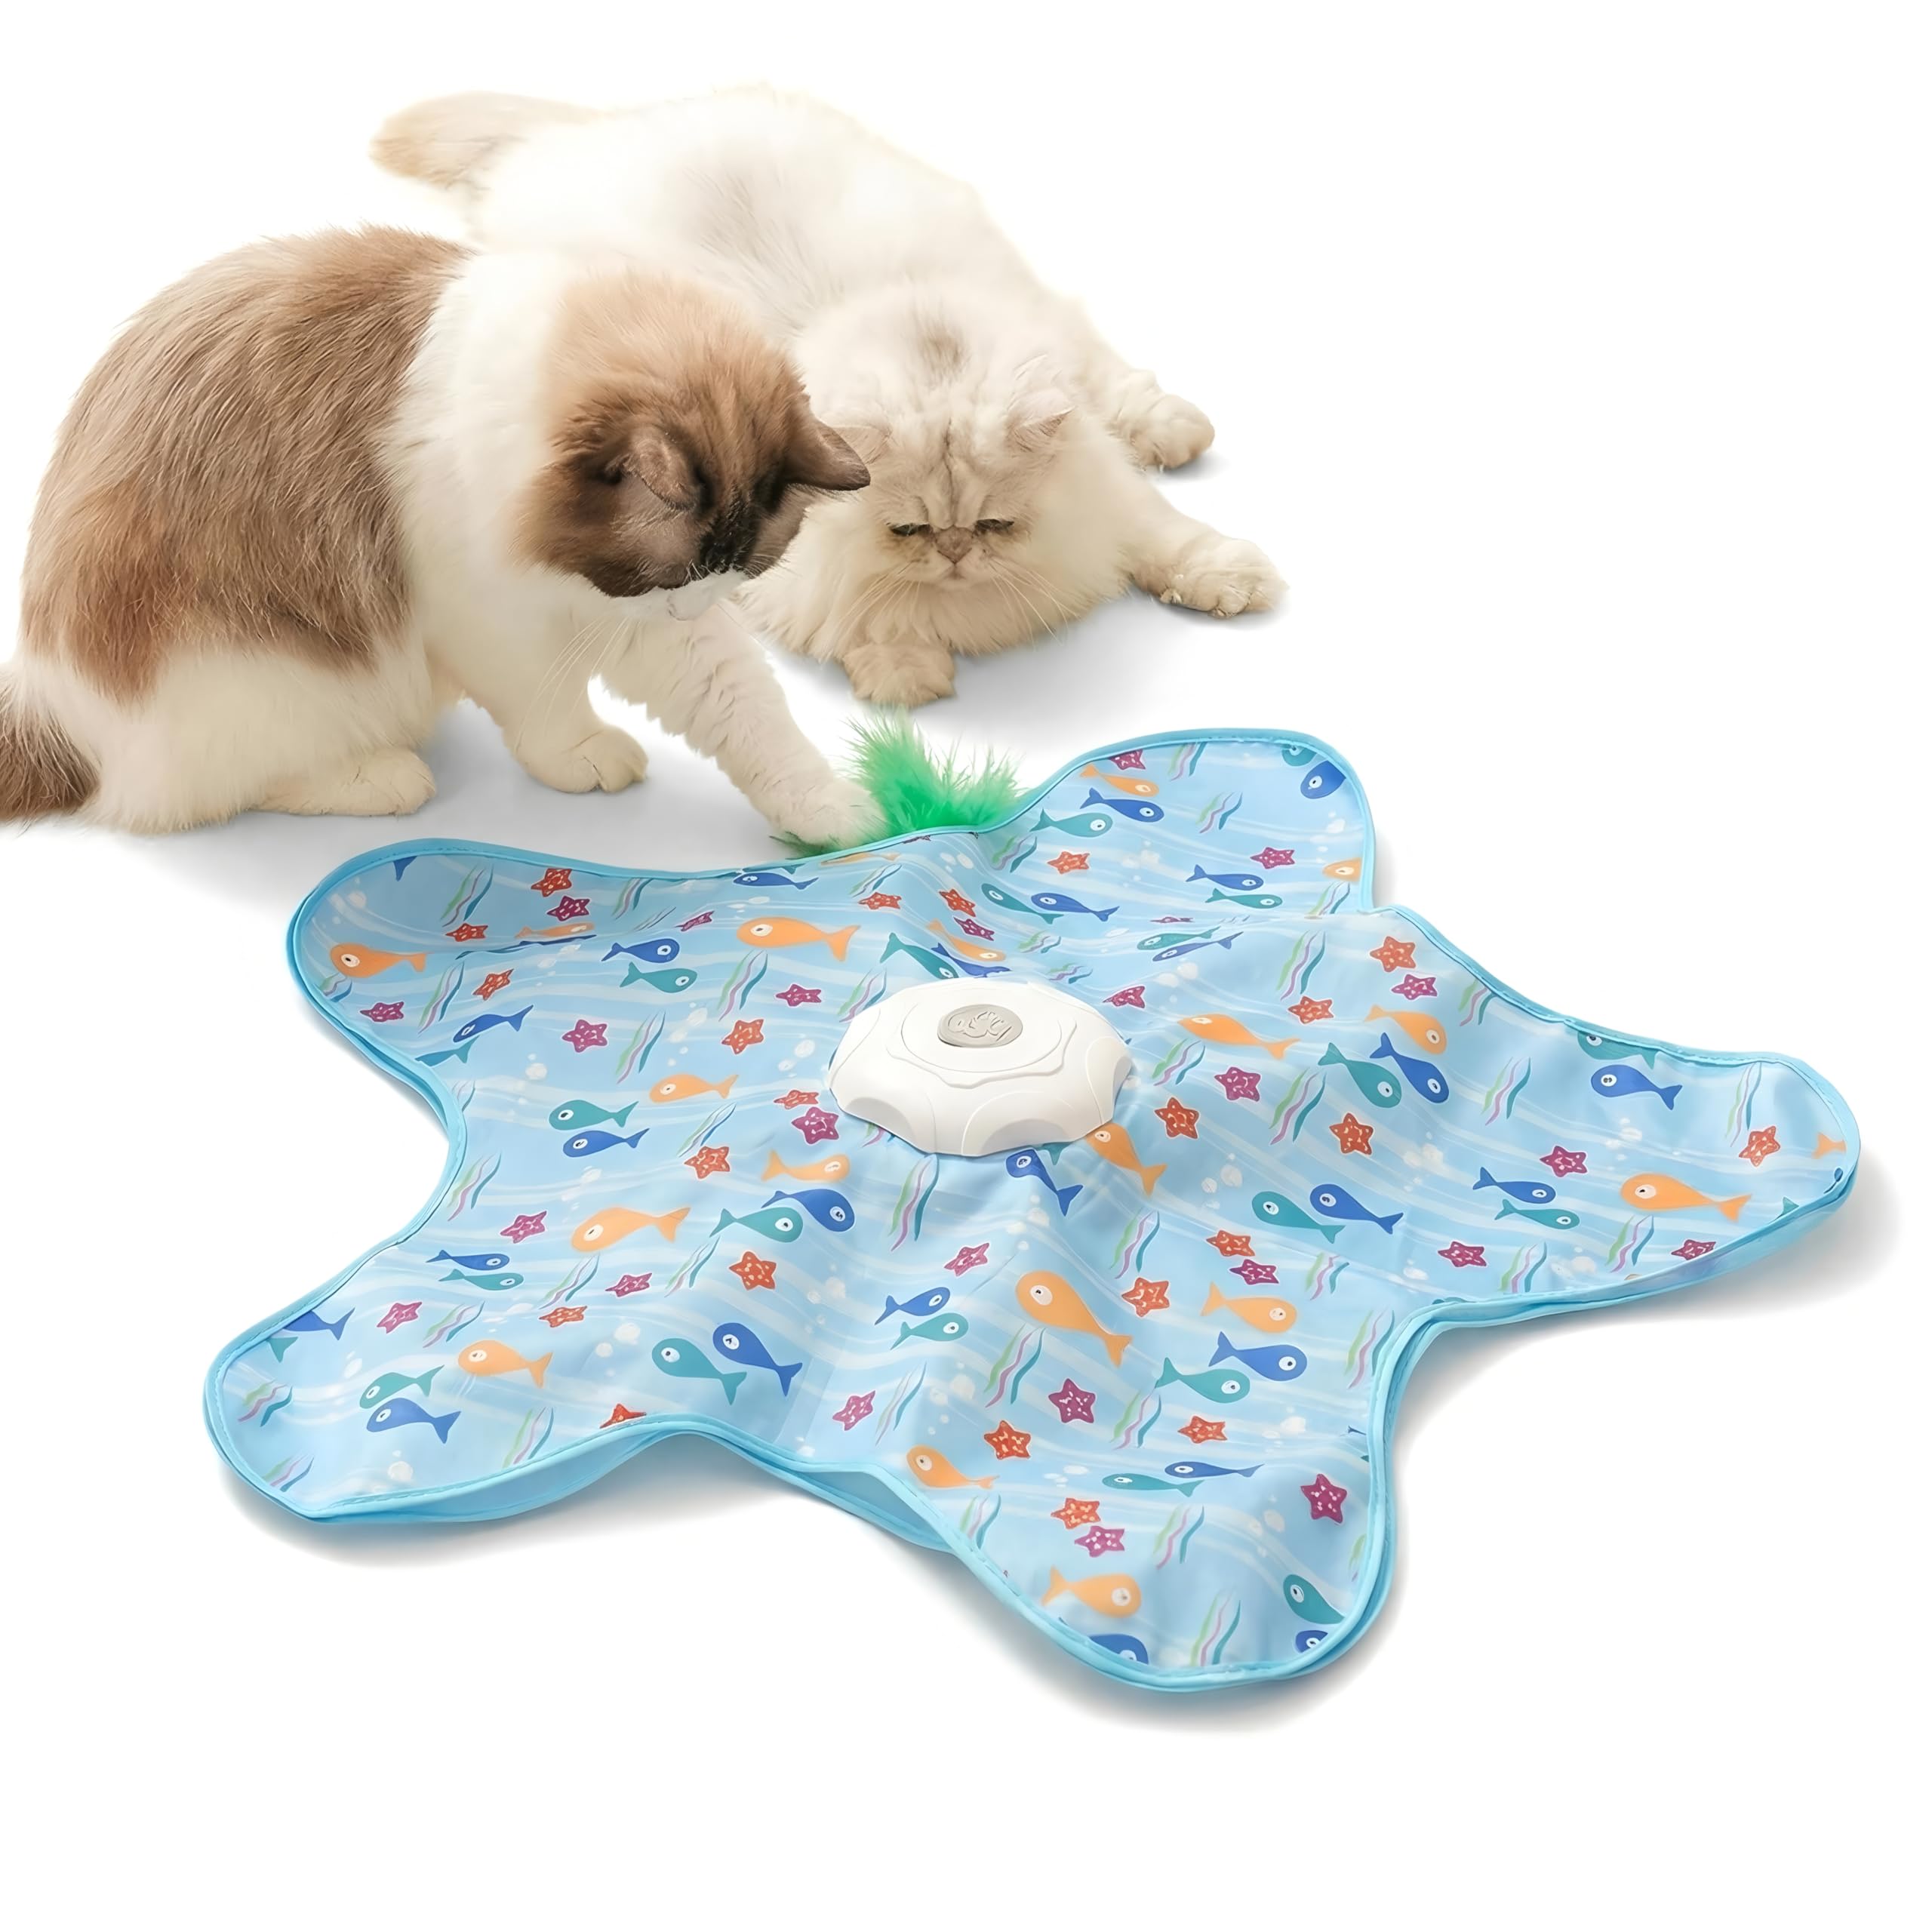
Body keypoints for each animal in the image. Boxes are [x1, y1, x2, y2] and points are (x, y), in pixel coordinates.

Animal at [2, 226, 876, 838]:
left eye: (734, 577)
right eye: (672, 577)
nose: (686, 607)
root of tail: (47, 707)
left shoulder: (627, 621)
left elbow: (750, 714)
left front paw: (842, 814)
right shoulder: (493, 620)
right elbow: (551, 710)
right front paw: (584, 755)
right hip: (257, 674)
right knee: (205, 791)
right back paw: (380, 776)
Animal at [372, 89, 1284, 708]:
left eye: (996, 525)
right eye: (908, 531)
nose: (956, 553)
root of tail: (579, 132)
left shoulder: (1106, 485)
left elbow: (1165, 534)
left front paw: (1231, 580)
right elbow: (853, 617)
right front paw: (908, 672)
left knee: (1124, 390)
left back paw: (1178, 432)